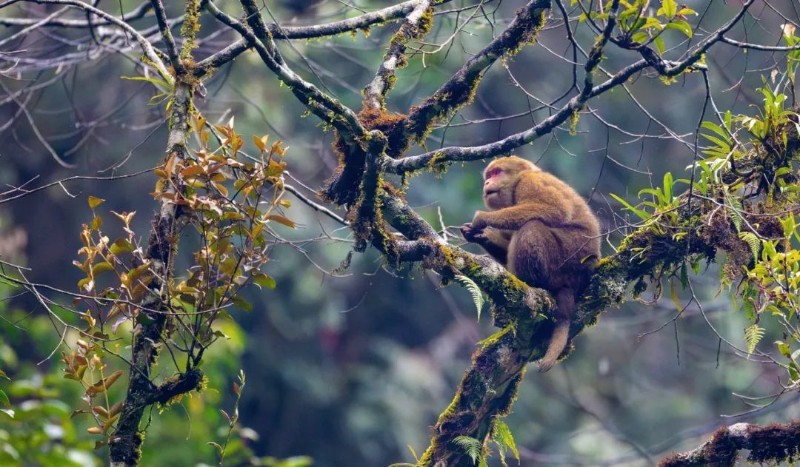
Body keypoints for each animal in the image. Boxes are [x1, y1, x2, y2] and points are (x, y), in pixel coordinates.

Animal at [460, 156, 596, 372]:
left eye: (496, 173)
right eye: (488, 175)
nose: (487, 182)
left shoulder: (530, 182)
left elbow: (554, 211)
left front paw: (482, 219)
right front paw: (481, 236)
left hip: (564, 262)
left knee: (532, 226)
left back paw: (529, 283)